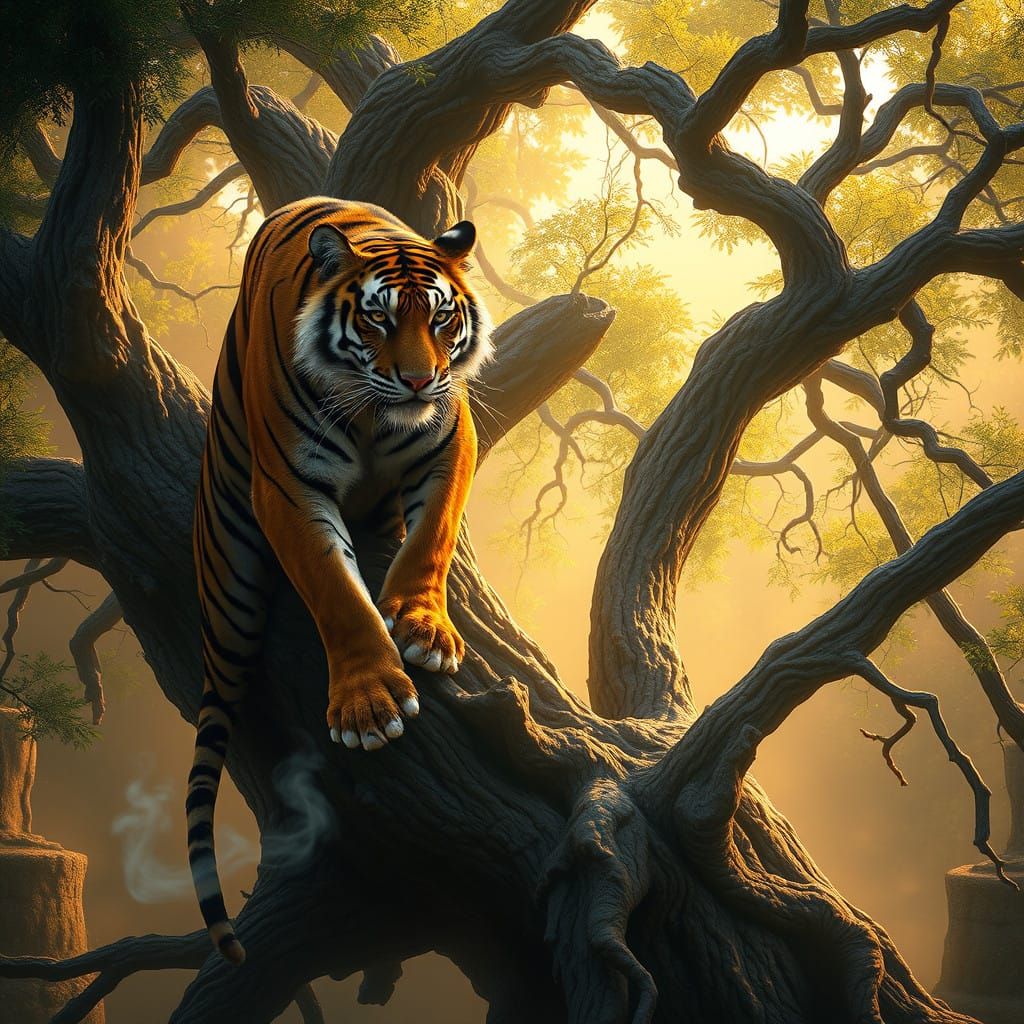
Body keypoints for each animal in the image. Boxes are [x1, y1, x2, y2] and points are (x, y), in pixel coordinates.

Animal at [186, 197, 493, 965]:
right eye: (378, 320)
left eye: (441, 320)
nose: (417, 380)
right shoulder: (288, 488)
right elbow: (336, 593)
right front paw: (371, 710)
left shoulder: (452, 438)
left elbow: (430, 541)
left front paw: (425, 631)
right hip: (227, 580)